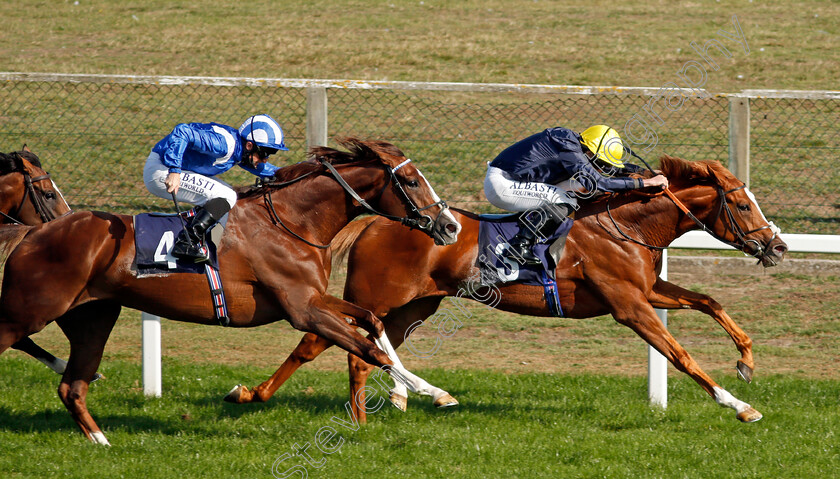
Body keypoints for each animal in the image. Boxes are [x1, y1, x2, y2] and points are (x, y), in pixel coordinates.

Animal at [225, 156, 788, 426]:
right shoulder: (629, 306)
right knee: (319, 341)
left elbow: (710, 301)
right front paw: (739, 405)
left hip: (417, 305)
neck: (623, 224)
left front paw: (746, 361)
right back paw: (259, 395)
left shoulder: (648, 289)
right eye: (742, 205)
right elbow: (680, 355)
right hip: (378, 295)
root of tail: (375, 221)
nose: (778, 245)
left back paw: (399, 401)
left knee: (370, 345)